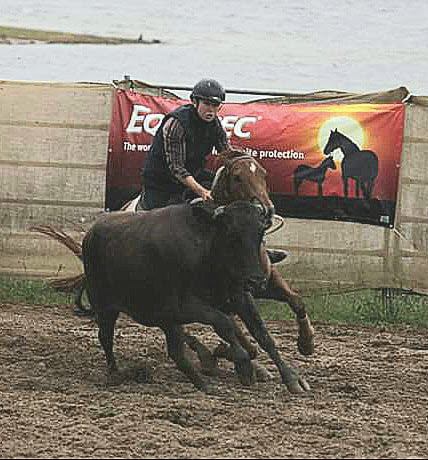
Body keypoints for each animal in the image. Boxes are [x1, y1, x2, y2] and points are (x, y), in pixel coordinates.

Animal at [82, 199, 310, 393]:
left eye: (261, 233)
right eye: (232, 233)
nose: (257, 280)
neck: (206, 255)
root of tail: (91, 232)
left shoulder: (239, 297)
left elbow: (262, 335)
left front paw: (292, 378)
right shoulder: (184, 306)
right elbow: (224, 322)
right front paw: (244, 366)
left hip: (162, 319)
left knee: (177, 353)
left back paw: (204, 384)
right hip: (106, 307)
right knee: (106, 337)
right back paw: (115, 373)